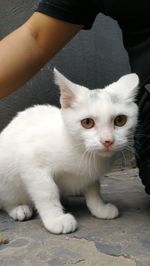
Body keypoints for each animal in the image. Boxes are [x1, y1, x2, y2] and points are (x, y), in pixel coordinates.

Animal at [0, 69, 139, 234]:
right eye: (87, 123)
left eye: (120, 120)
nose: (108, 141)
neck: (80, 151)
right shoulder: (32, 163)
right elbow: (47, 192)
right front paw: (55, 219)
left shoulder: (90, 173)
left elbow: (94, 190)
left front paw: (99, 208)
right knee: (6, 199)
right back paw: (18, 208)